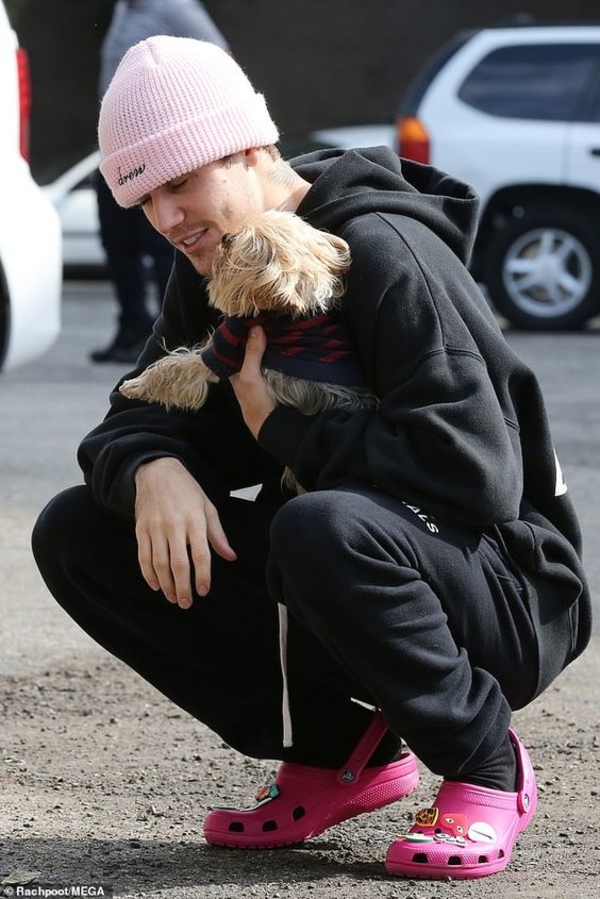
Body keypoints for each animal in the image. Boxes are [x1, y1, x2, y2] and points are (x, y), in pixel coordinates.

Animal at [120, 209, 378, 493]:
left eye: (236, 245)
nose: (225, 236)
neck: (288, 311)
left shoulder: (228, 345)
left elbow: (176, 367)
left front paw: (135, 385)